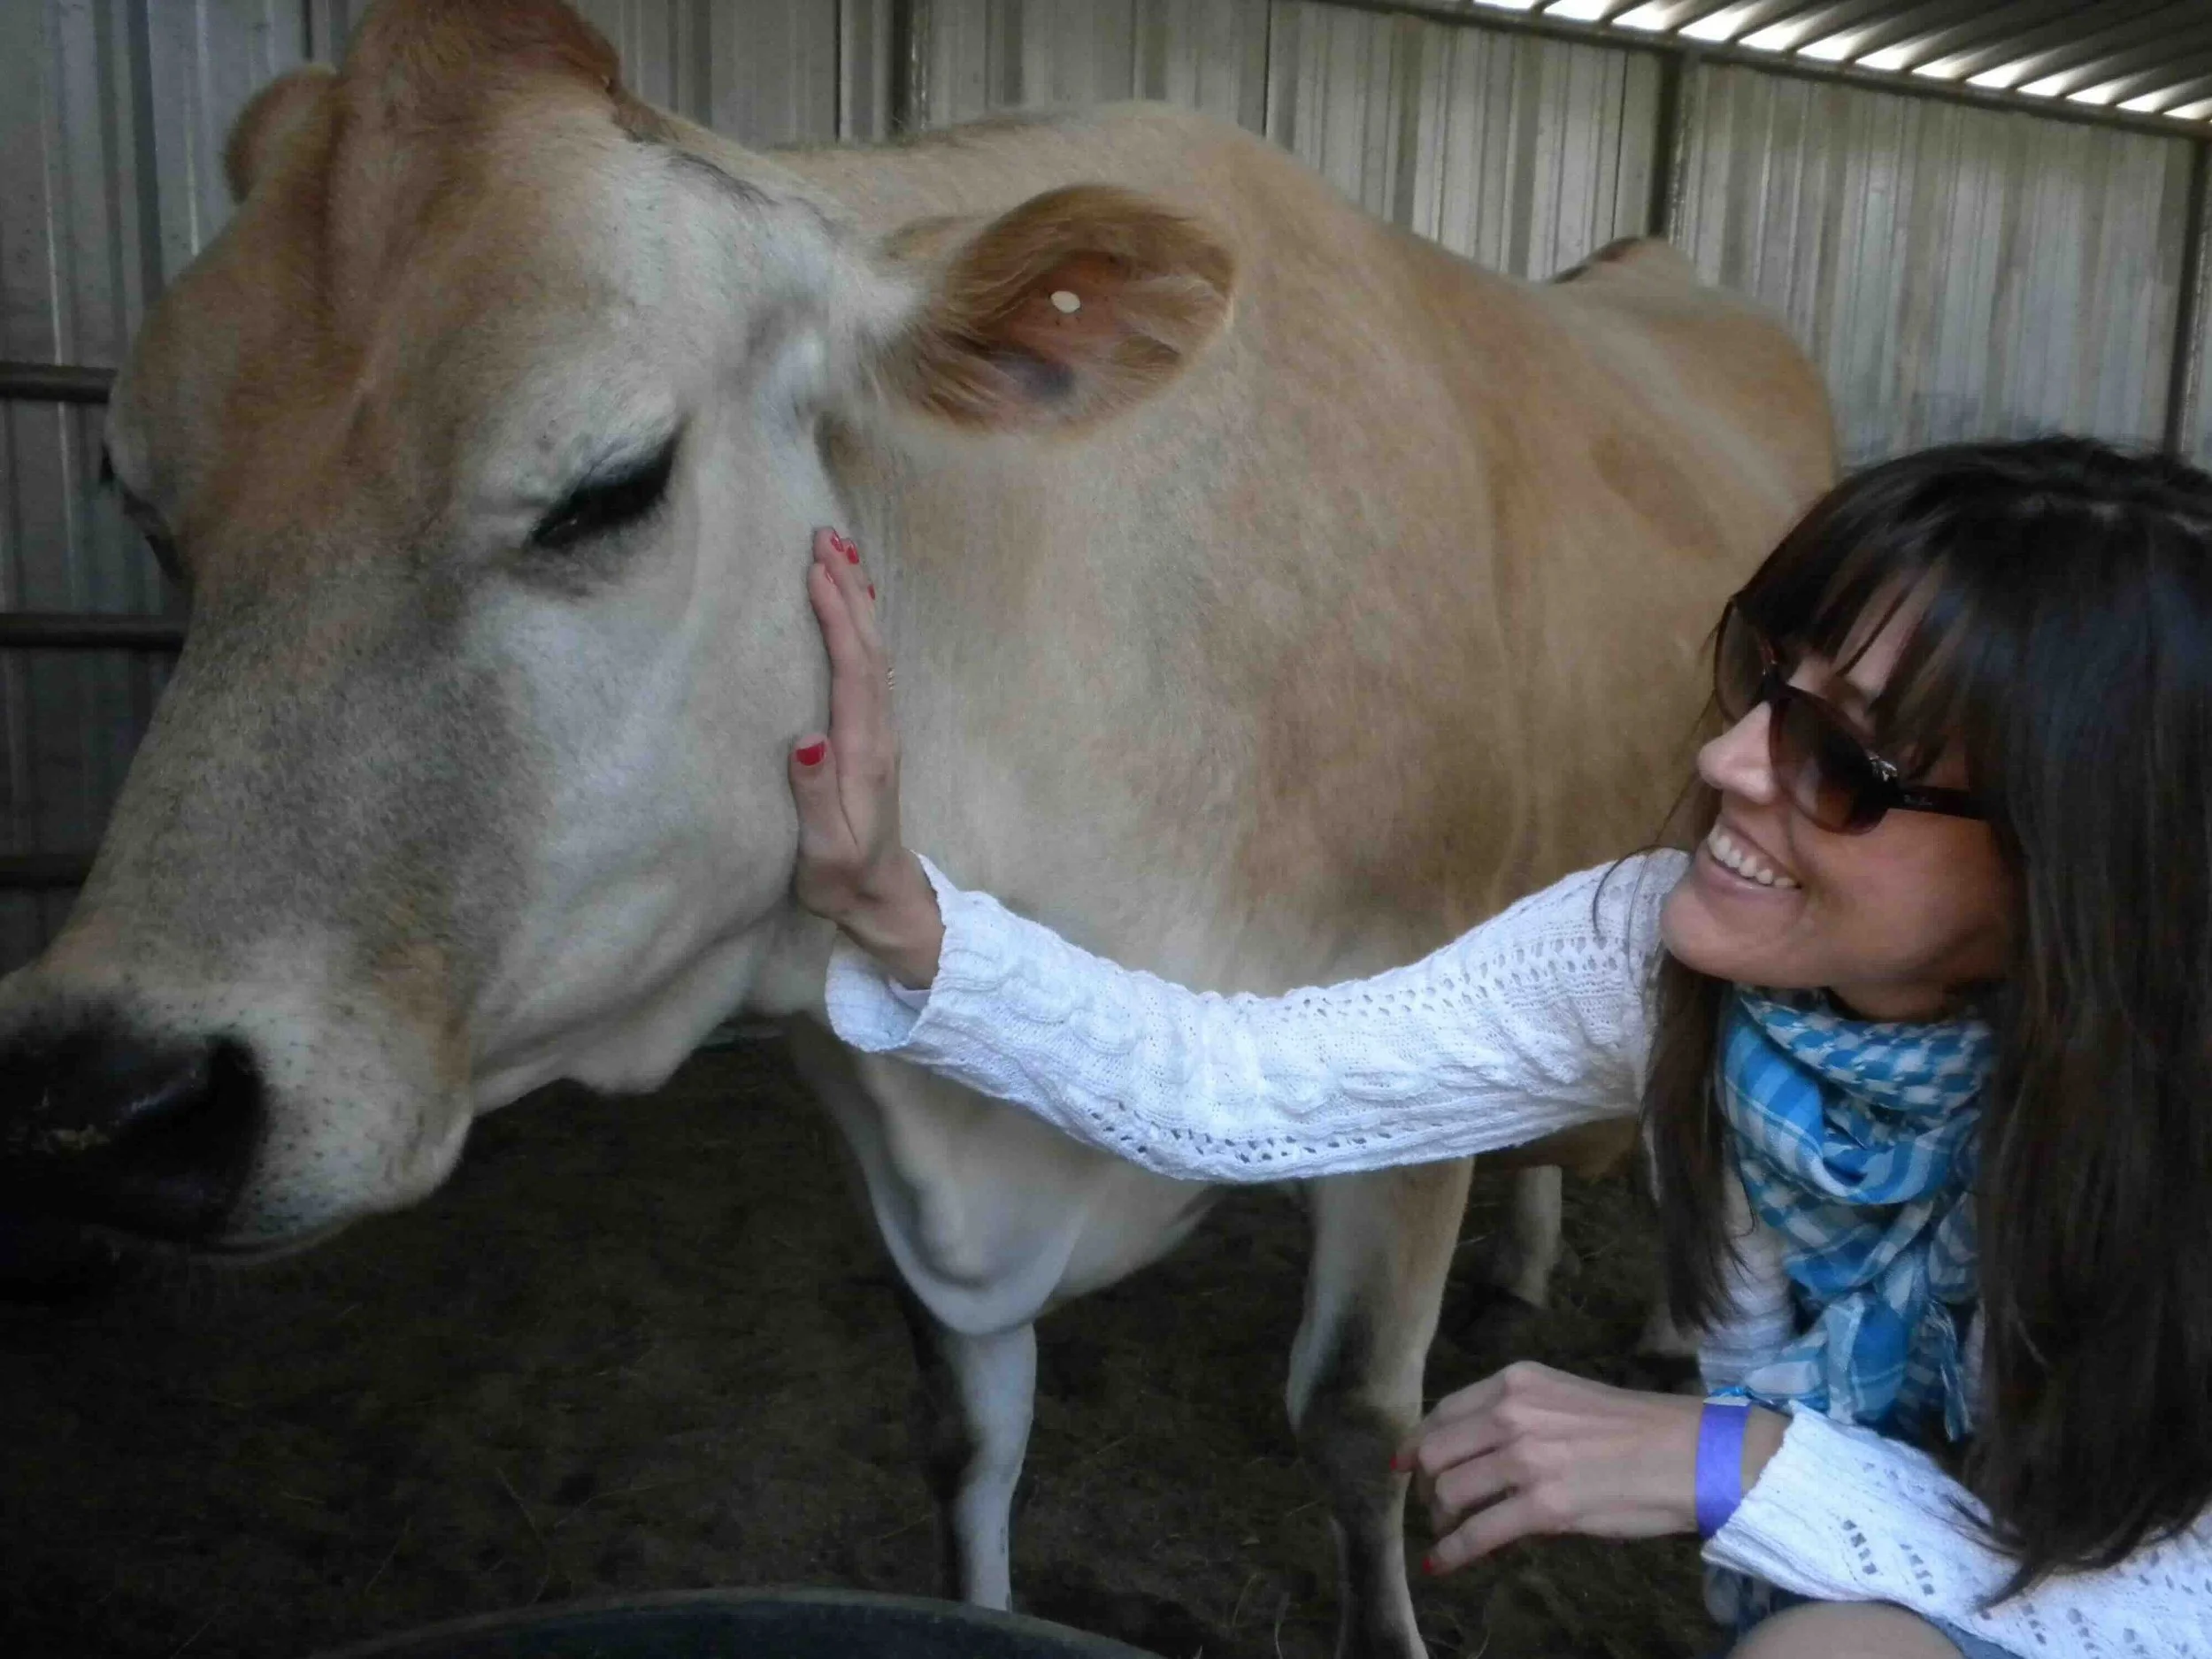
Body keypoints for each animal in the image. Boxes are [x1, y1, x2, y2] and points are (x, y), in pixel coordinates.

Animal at [0, 4, 1834, 1654]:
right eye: (149, 515)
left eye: (609, 486)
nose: (110, 1092)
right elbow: (968, 1438)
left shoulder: (1405, 1078)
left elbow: (1354, 1423)